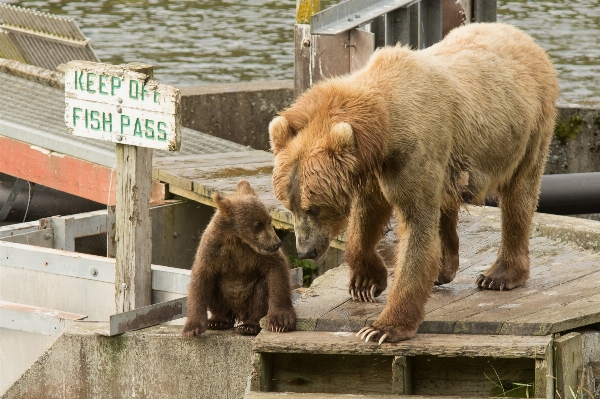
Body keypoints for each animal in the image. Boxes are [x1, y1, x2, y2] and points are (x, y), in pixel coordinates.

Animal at [268, 23, 556, 346]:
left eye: (313, 206)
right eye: (289, 203)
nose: (304, 250)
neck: (384, 129)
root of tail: (522, 36)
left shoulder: (414, 150)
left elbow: (416, 227)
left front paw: (381, 328)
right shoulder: (373, 167)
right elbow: (367, 216)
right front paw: (365, 282)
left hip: (529, 130)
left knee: (519, 196)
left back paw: (499, 275)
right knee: (447, 201)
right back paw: (445, 266)